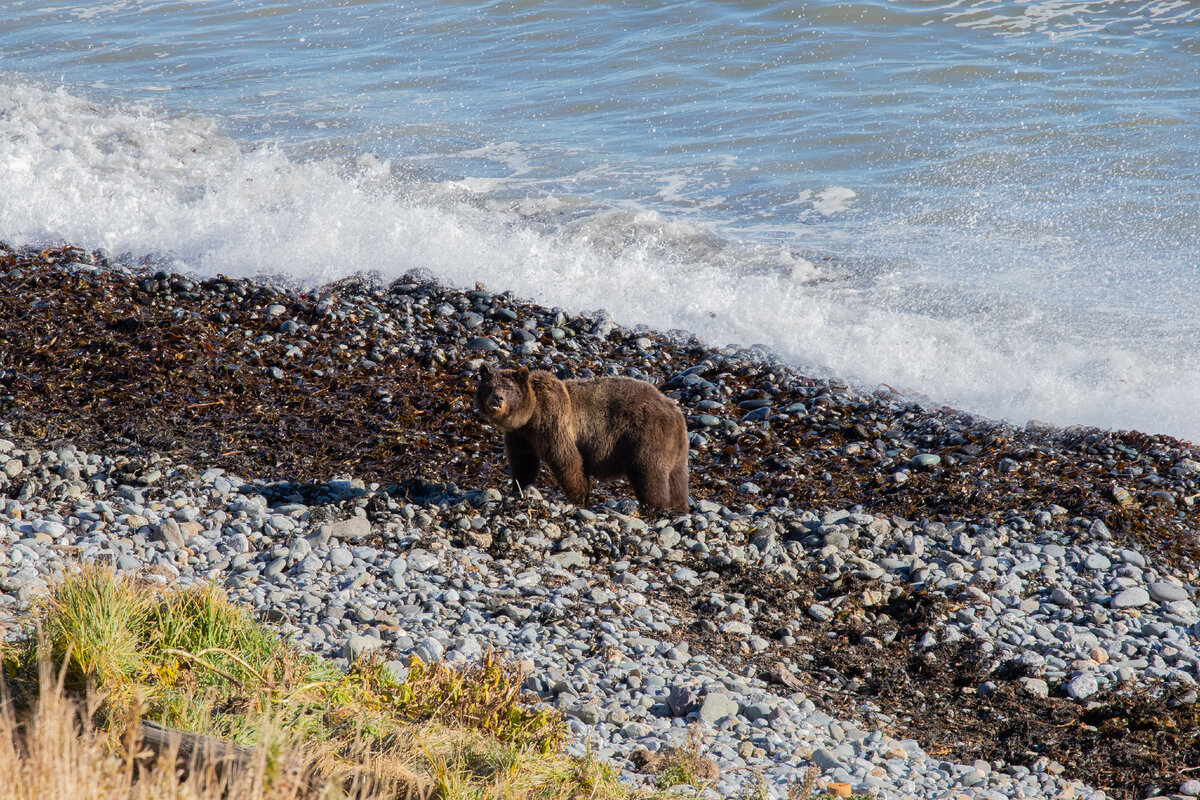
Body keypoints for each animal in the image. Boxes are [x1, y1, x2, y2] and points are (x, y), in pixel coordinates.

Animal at [472, 367, 691, 513]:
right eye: (489, 386)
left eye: (509, 388)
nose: (497, 398)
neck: (530, 416)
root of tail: (676, 413)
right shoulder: (520, 435)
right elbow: (523, 462)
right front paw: (518, 487)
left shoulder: (552, 422)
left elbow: (567, 460)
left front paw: (579, 498)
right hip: (676, 449)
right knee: (677, 480)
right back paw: (680, 508)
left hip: (645, 438)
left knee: (649, 474)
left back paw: (657, 508)